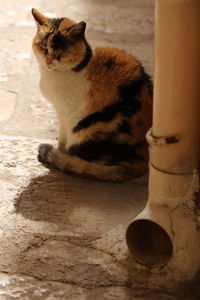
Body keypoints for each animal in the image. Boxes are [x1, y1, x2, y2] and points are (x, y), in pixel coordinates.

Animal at [32, 9, 152, 182]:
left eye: (59, 52)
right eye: (43, 48)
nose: (48, 61)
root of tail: (143, 157)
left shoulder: (65, 114)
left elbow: (63, 138)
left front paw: (59, 152)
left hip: (85, 129)